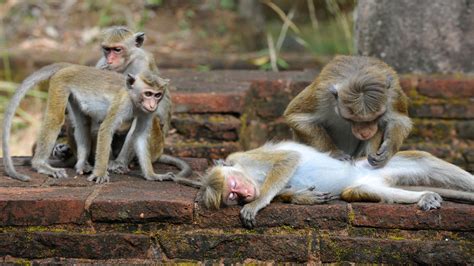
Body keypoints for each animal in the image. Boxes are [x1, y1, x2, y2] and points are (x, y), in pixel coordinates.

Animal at [2, 62, 176, 183]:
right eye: (148, 94)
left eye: (157, 95)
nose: (152, 105)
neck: (135, 100)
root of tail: (73, 67)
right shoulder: (123, 103)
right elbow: (106, 129)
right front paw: (100, 173)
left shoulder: (147, 114)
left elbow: (139, 136)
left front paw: (152, 175)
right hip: (60, 83)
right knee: (55, 119)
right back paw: (40, 165)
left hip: (72, 94)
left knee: (82, 124)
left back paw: (81, 164)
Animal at [200, 141, 474, 227]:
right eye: (232, 196)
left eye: (234, 184)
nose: (244, 194)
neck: (252, 176)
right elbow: (286, 190)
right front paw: (302, 197)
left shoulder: (244, 157)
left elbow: (289, 158)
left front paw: (256, 204)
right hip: (368, 181)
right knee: (360, 190)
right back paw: (422, 196)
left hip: (378, 165)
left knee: (425, 159)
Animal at [284, 55, 412, 167]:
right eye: (352, 119)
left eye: (375, 117)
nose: (365, 133)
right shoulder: (320, 94)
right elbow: (297, 117)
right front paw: (334, 152)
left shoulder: (394, 92)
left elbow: (400, 120)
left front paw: (387, 150)